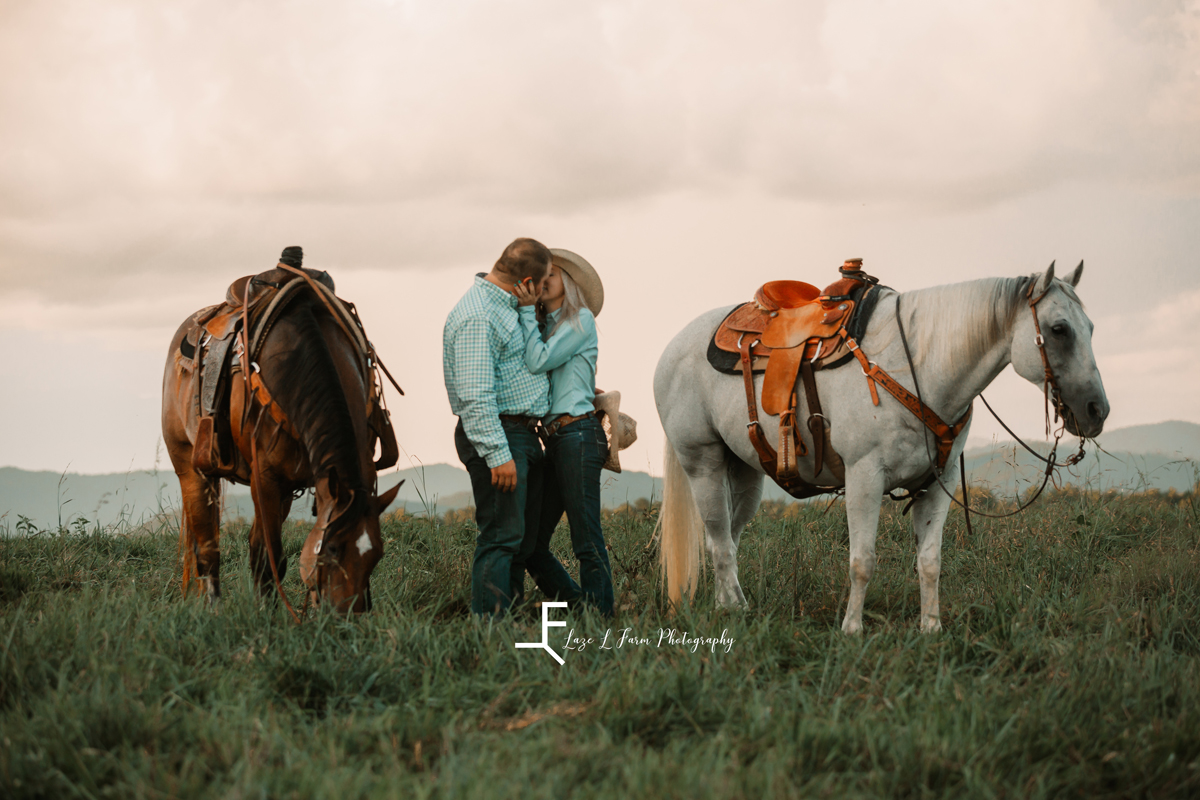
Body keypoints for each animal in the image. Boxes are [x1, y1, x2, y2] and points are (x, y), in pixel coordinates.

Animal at [159, 251, 405, 614]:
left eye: (377, 554)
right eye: (332, 549)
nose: (348, 616)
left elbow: (267, 551)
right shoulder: (265, 480)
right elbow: (269, 554)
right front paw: (270, 615)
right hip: (191, 468)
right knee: (207, 547)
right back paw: (214, 607)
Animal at [657, 262, 1104, 633]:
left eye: (1091, 328)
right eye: (1059, 329)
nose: (1097, 410)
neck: (916, 367)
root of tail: (672, 348)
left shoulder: (936, 484)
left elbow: (930, 561)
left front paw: (930, 629)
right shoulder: (864, 477)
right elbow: (863, 560)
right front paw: (852, 630)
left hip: (746, 471)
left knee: (727, 537)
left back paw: (728, 605)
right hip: (703, 463)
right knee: (719, 541)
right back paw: (734, 612)